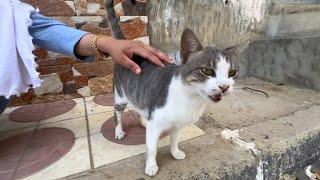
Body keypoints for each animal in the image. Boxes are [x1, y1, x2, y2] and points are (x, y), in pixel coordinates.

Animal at [106, 0, 241, 176]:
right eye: (207, 71)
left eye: (232, 72)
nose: (224, 87)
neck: (190, 99)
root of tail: (129, 51)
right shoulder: (156, 122)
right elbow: (152, 147)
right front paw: (151, 166)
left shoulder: (178, 124)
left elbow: (175, 139)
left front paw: (175, 152)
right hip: (121, 96)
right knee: (117, 113)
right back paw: (118, 131)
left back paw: (144, 120)